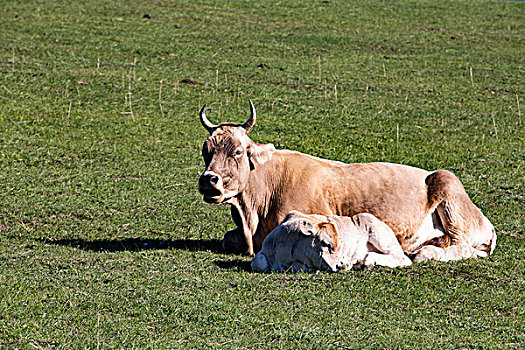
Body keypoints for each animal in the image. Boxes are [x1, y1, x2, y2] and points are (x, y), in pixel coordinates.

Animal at [196, 100, 496, 262]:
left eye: (237, 151)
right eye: (206, 150)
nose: (209, 180)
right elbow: (228, 239)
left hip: (447, 186)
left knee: (462, 246)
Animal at [250, 209, 414, 272]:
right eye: (326, 244)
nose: (342, 265)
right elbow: (259, 262)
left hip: (374, 228)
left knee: (402, 258)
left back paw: (367, 260)